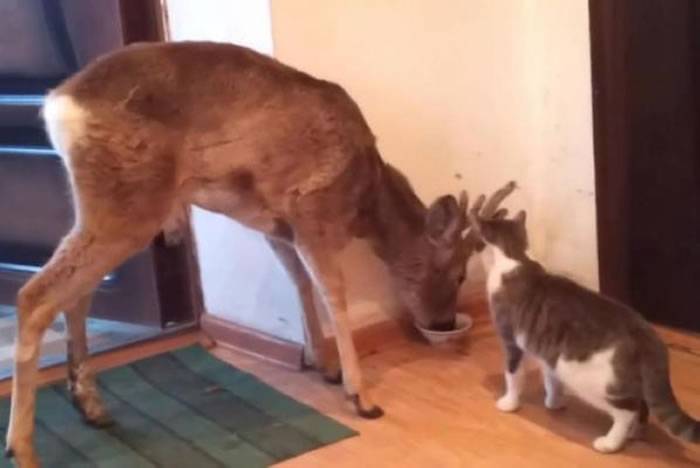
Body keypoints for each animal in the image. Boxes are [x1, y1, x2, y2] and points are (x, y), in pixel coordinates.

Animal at [4, 42, 516, 466]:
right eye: (455, 273)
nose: (444, 323)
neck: (363, 198)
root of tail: (58, 104)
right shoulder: (311, 210)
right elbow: (333, 293)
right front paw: (361, 396)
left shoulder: (276, 225)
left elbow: (300, 283)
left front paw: (325, 365)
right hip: (129, 199)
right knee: (35, 295)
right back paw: (23, 448)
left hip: (108, 205)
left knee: (77, 293)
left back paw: (90, 406)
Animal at [468, 208, 696, 454]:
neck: (515, 255)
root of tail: (649, 334)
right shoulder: (547, 353)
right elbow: (551, 379)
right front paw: (554, 403)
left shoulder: (511, 341)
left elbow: (512, 375)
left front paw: (509, 403)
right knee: (642, 404)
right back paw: (634, 433)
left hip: (591, 380)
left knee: (627, 411)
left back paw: (610, 443)